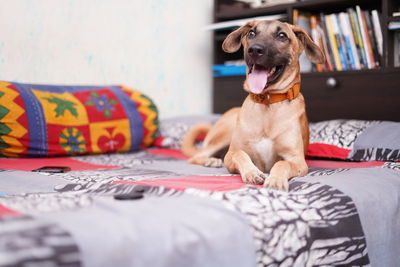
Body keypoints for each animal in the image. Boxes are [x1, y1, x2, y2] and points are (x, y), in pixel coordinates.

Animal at [181, 20, 324, 193]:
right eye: (251, 33)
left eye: (282, 35)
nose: (255, 50)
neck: (268, 102)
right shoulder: (231, 154)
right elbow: (240, 154)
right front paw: (252, 173)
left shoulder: (298, 161)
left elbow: (281, 163)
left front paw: (275, 180)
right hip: (225, 133)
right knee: (196, 156)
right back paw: (210, 160)